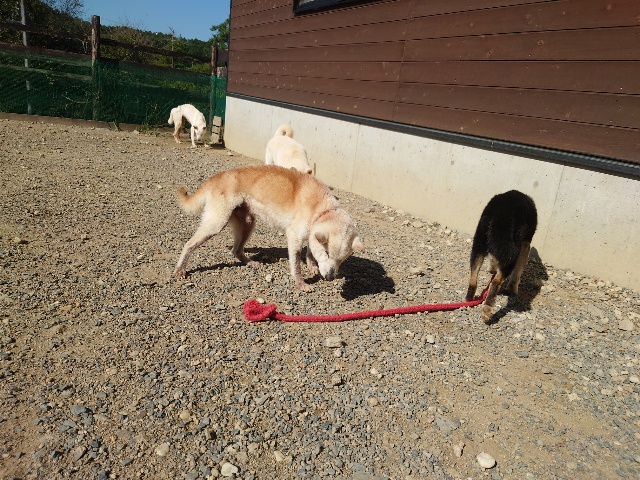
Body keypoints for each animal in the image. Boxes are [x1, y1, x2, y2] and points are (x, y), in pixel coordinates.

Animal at [172, 165, 364, 291]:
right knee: (188, 244)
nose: (330, 278)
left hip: (247, 223)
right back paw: (180, 269)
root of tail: (217, 177)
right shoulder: (294, 236)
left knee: (236, 250)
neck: (322, 208)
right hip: (217, 223)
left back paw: (251, 263)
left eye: (342, 260)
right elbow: (296, 265)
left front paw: (312, 266)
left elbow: (310, 252)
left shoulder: (311, 233)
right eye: (327, 253)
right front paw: (301, 283)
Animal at [465, 190, 537, 322]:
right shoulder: (525, 245)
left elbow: (493, 259)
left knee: (473, 278)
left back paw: (469, 299)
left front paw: (492, 268)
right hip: (511, 253)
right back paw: (487, 309)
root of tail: (499, 212)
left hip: (479, 243)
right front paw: (512, 290)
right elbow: (517, 273)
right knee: (495, 282)